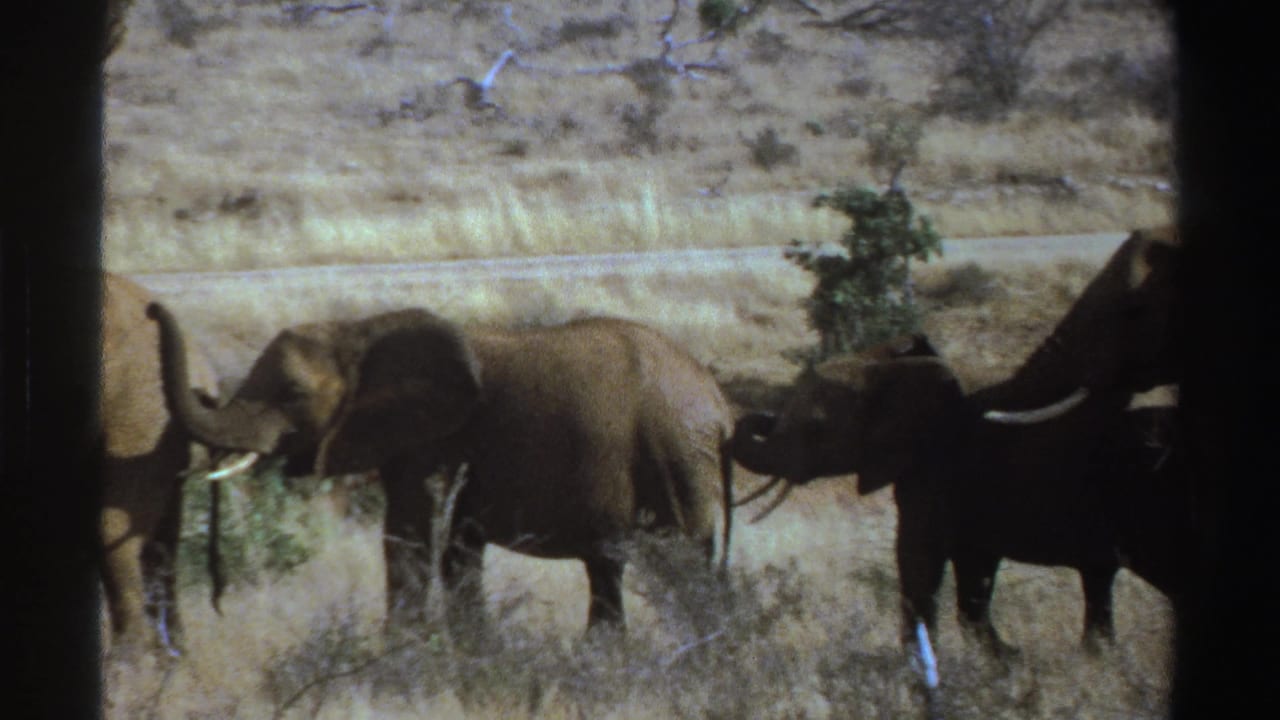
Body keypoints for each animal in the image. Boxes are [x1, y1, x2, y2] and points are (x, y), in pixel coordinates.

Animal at [146, 304, 735, 633]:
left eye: (291, 392)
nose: (152, 309)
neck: (359, 331)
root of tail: (718, 401)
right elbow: (456, 550)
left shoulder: (435, 442)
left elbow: (409, 537)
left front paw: (400, 660)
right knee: (610, 567)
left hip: (677, 453)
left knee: (684, 561)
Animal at [730, 334, 1188, 658]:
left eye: (816, 428)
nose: (764, 416)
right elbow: (971, 583)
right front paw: (1007, 660)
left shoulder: (935, 478)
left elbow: (918, 564)